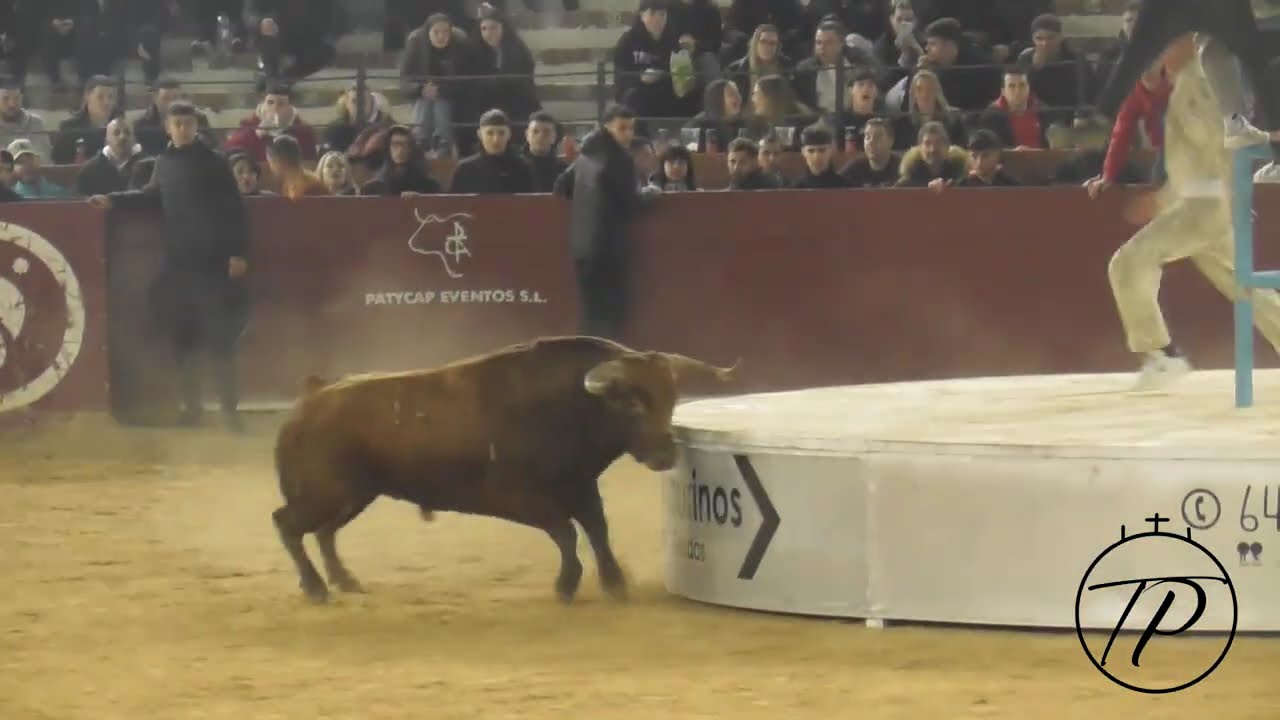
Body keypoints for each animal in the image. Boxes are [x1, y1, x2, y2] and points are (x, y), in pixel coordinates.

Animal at [271, 335, 739, 605]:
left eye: (671, 398)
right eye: (631, 402)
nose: (665, 456)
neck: (564, 408)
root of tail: (310, 398)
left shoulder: (581, 486)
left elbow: (596, 529)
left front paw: (614, 582)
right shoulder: (519, 497)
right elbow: (566, 531)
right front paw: (567, 584)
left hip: (355, 494)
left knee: (324, 532)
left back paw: (344, 580)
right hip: (326, 493)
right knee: (287, 523)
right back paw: (316, 588)